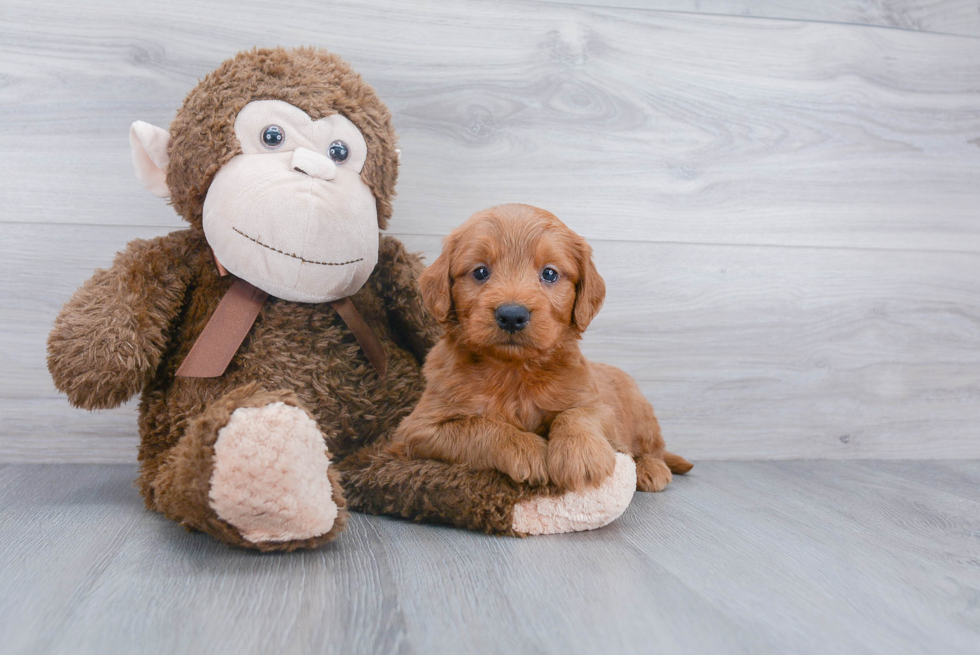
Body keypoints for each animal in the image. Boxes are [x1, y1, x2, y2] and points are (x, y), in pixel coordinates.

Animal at [386, 205, 692, 492]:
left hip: (642, 416)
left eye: (549, 273)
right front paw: (528, 449)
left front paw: (580, 455)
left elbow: (578, 414)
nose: (512, 315)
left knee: (654, 449)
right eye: (480, 272)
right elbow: (479, 427)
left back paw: (652, 468)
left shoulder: (601, 407)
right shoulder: (418, 427)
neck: (513, 370)